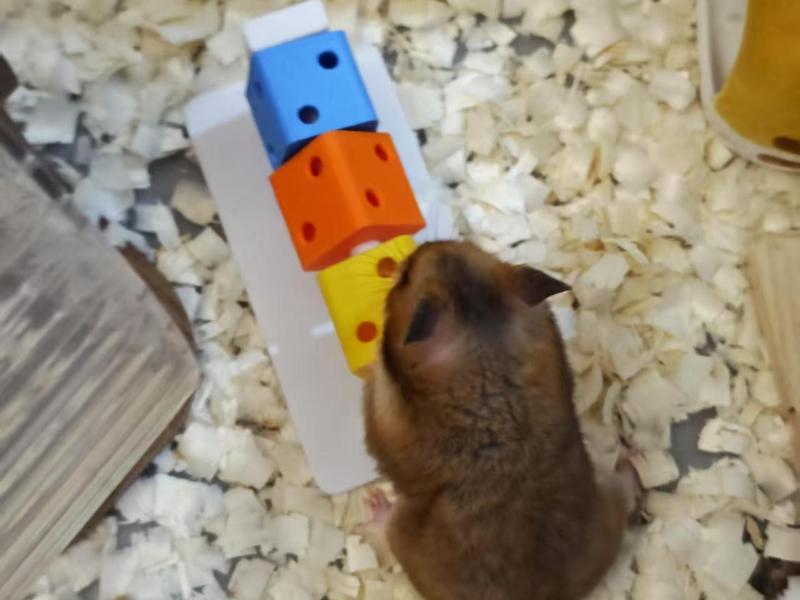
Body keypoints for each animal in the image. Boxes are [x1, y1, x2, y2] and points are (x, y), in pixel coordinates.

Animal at [363, 241, 631, 600]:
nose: (415, 249)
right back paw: (630, 458)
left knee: (386, 533)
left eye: (405, 277)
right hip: (608, 500)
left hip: (402, 532)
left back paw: (373, 504)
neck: (484, 349)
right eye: (470, 244)